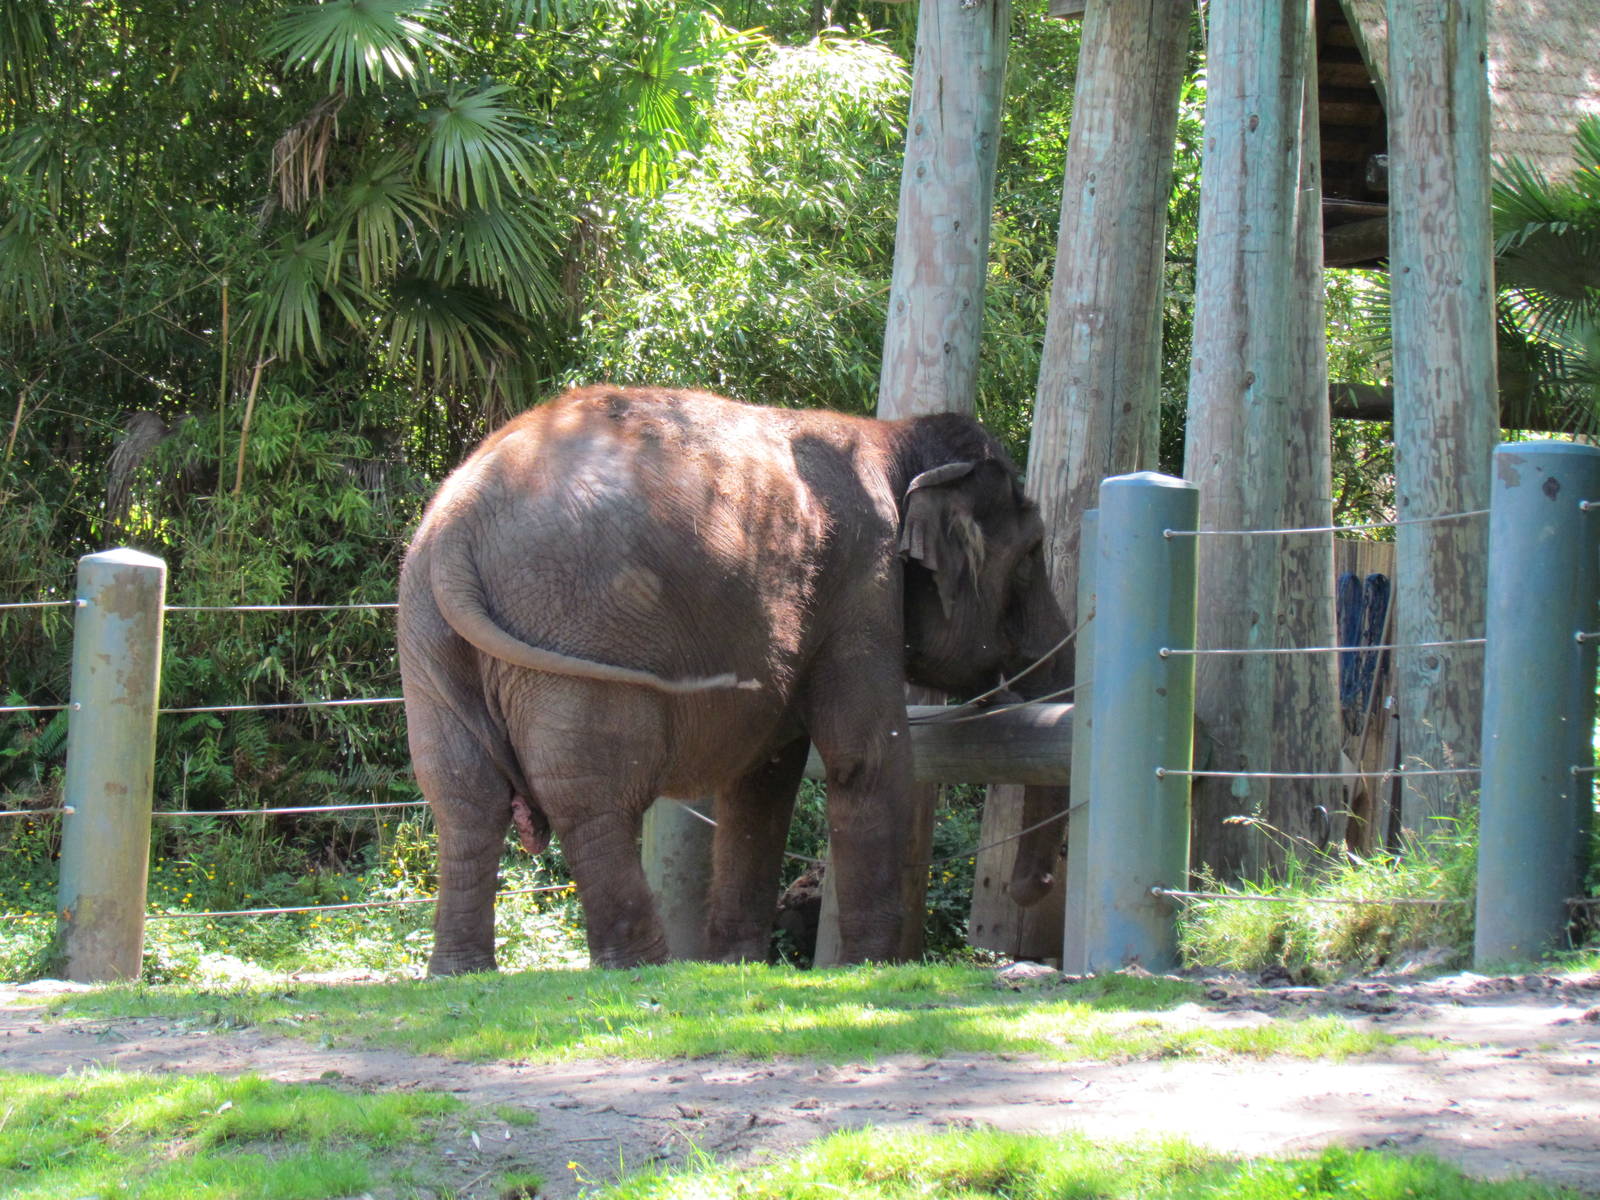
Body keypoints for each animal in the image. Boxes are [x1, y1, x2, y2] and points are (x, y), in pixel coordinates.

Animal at [398, 385, 1073, 974]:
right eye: (1031, 557)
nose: (1025, 887)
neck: (894, 442)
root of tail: (461, 523)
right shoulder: (863, 583)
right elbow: (864, 759)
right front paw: (871, 968)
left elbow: (763, 778)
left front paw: (735, 965)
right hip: (577, 621)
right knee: (593, 796)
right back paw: (643, 968)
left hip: (428, 638)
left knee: (462, 795)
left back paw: (459, 972)